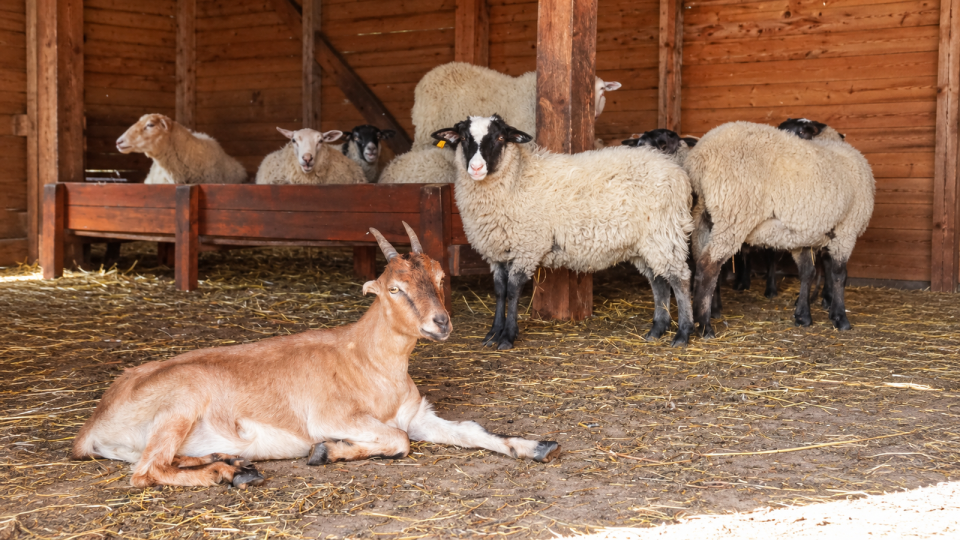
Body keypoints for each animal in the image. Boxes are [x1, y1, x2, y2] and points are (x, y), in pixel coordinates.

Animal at [71, 223, 560, 488]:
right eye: (395, 289)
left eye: (440, 277)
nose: (441, 323)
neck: (367, 362)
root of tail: (93, 424)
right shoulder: (332, 416)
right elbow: (397, 441)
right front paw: (326, 452)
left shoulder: (418, 415)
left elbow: (469, 430)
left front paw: (537, 445)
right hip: (181, 402)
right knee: (145, 471)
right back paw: (229, 474)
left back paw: (230, 462)